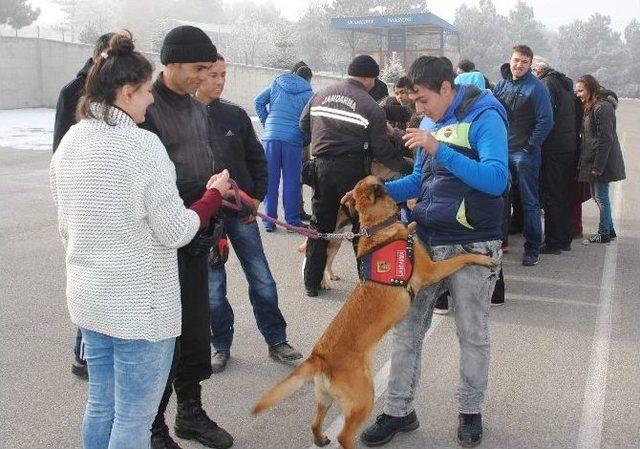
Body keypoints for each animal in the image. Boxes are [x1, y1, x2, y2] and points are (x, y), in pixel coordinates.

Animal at [250, 175, 490, 448]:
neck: (377, 228)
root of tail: (319, 357)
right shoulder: (431, 270)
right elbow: (460, 258)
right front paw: (482, 258)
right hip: (365, 397)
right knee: (344, 435)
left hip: (324, 399)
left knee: (314, 423)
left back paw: (320, 438)